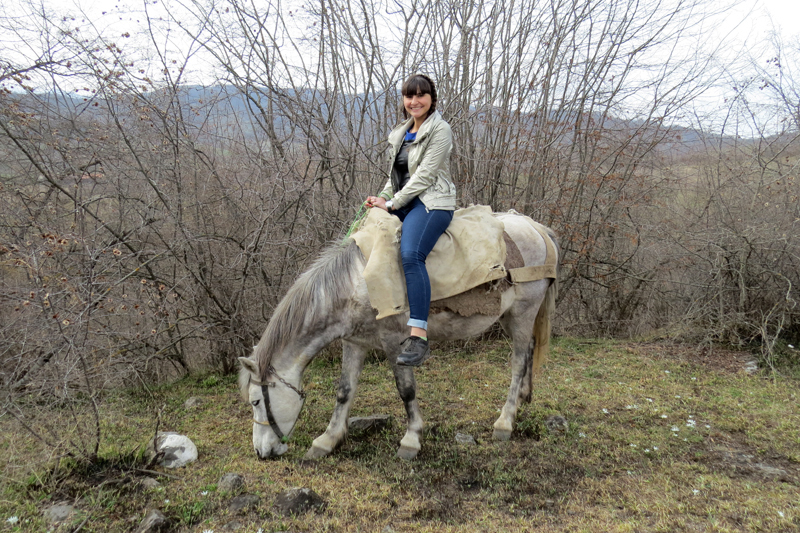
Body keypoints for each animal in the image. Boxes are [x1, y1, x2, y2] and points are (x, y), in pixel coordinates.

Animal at [237, 211, 558, 460]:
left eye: (255, 402)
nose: (260, 453)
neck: (358, 282)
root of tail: (535, 227)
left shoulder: (395, 342)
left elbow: (406, 390)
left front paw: (411, 439)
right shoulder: (353, 342)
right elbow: (344, 391)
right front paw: (327, 441)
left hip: (523, 312)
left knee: (518, 362)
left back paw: (505, 420)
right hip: (510, 316)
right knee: (529, 350)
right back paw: (524, 397)